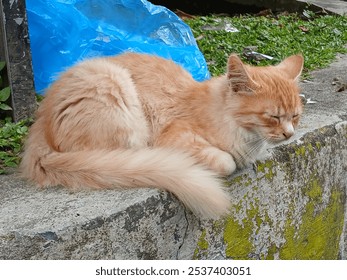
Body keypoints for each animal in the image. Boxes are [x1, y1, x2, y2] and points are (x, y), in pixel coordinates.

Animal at [19, 52, 304, 219]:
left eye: (295, 116)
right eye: (273, 116)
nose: (289, 134)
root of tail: (40, 123)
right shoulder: (176, 137)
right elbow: (226, 161)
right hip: (113, 87)